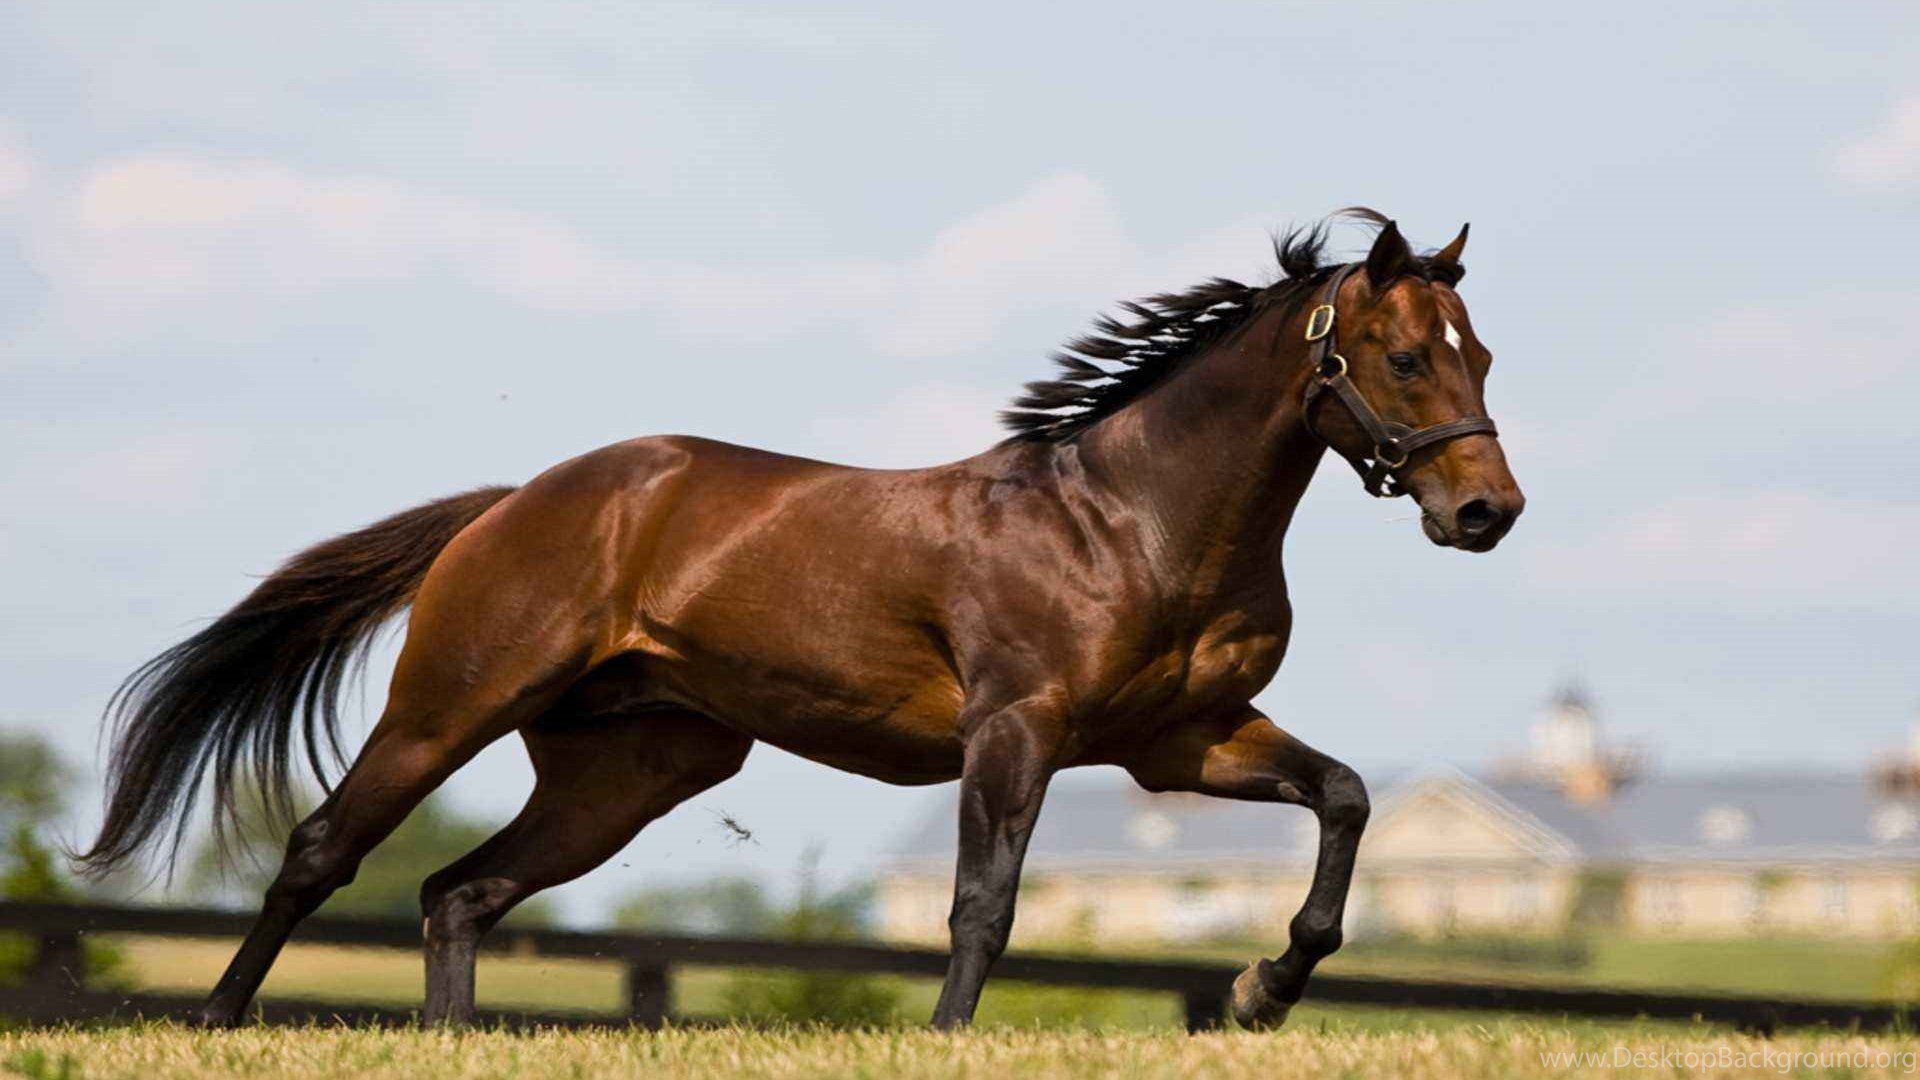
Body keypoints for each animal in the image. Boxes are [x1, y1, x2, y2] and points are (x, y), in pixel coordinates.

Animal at [78, 205, 1528, 1022]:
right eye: (1406, 355)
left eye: (1484, 354)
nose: (1487, 513)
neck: (1131, 522)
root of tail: (514, 504)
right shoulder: (1018, 730)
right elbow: (983, 906)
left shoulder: (1180, 742)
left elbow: (1343, 800)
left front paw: (1258, 993)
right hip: (452, 706)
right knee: (323, 854)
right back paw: (214, 1026)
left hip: (633, 769)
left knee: (457, 893)